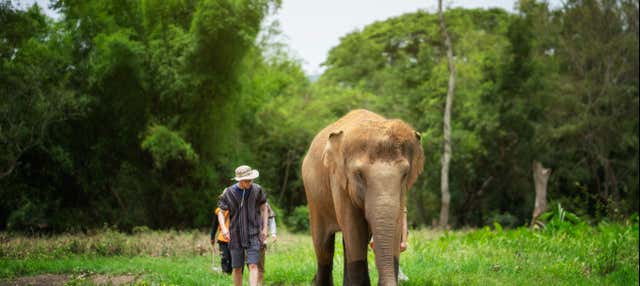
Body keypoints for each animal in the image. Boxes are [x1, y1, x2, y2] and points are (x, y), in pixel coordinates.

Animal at [302, 109, 422, 286]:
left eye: (405, 174)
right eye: (359, 174)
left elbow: (395, 224)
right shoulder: (339, 182)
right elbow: (354, 229)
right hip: (313, 197)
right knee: (324, 247)